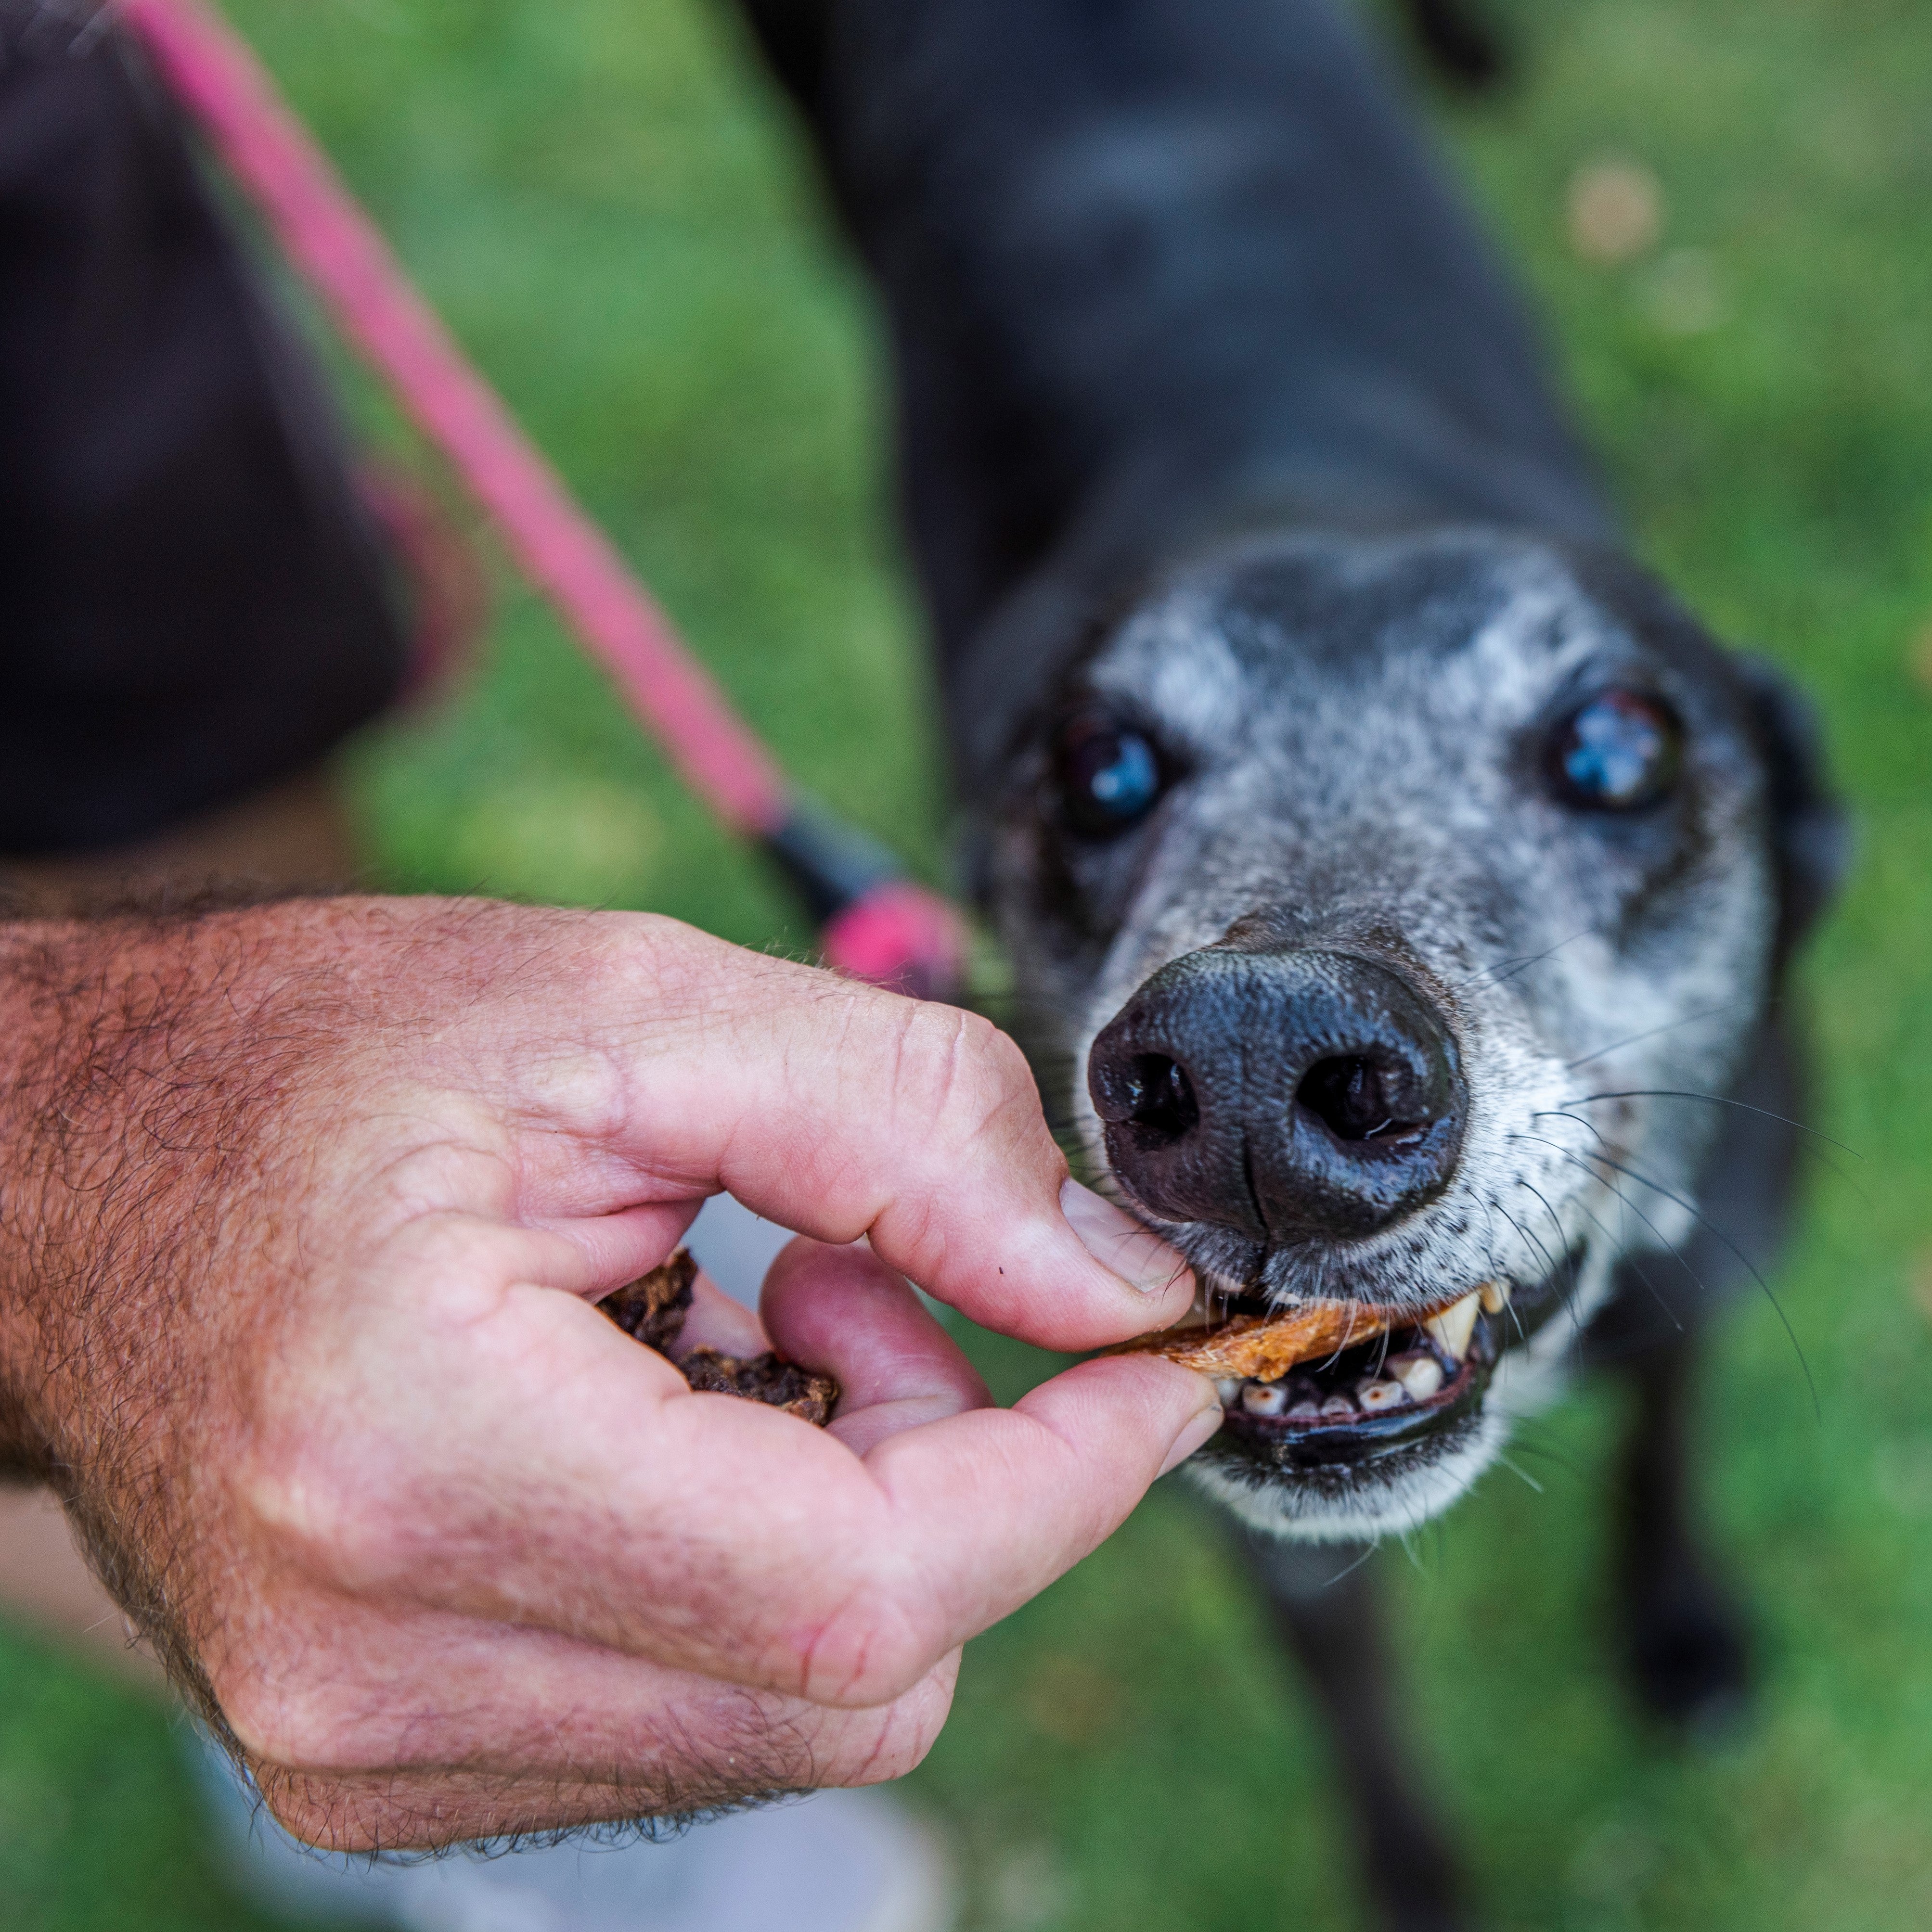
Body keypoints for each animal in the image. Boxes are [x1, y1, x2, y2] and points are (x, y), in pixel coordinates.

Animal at [726, 7, 1839, 1924]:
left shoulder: (1717, 1257)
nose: (1252, 1062)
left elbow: (1666, 1444)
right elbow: (1366, 1727)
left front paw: (1681, 1635)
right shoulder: (1273, 1551)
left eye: (1617, 745)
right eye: (1095, 766)